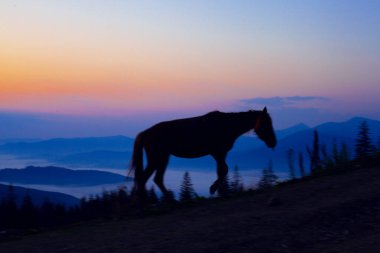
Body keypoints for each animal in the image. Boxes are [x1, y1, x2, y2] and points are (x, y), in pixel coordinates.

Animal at [128, 106, 276, 198]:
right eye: (266, 123)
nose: (273, 142)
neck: (227, 125)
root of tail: (147, 132)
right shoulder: (218, 153)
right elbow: (223, 170)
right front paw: (213, 188)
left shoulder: (220, 154)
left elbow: (222, 171)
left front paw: (216, 189)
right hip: (158, 158)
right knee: (147, 178)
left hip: (161, 158)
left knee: (153, 179)